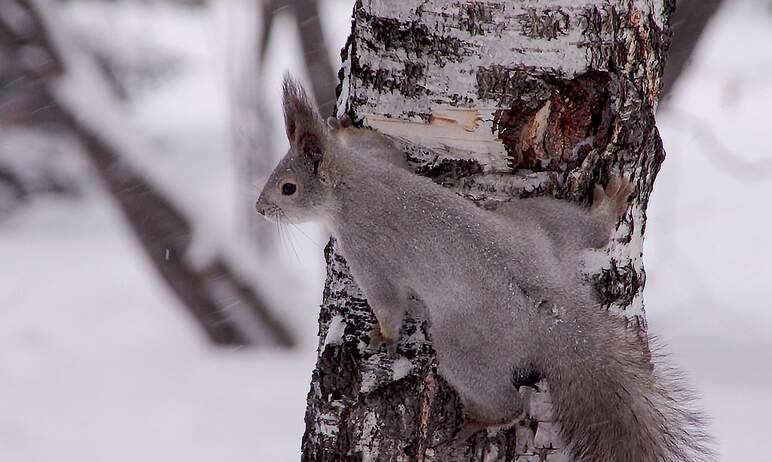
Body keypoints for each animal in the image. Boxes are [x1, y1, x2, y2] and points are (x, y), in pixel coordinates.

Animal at [256, 76, 712, 462]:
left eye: (288, 188)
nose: (260, 209)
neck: (351, 184)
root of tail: (554, 315)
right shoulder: (381, 161)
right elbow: (388, 149)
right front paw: (343, 128)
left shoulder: (367, 251)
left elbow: (387, 302)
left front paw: (382, 335)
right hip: (537, 221)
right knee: (592, 232)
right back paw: (608, 207)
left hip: (465, 348)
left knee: (508, 403)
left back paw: (480, 420)